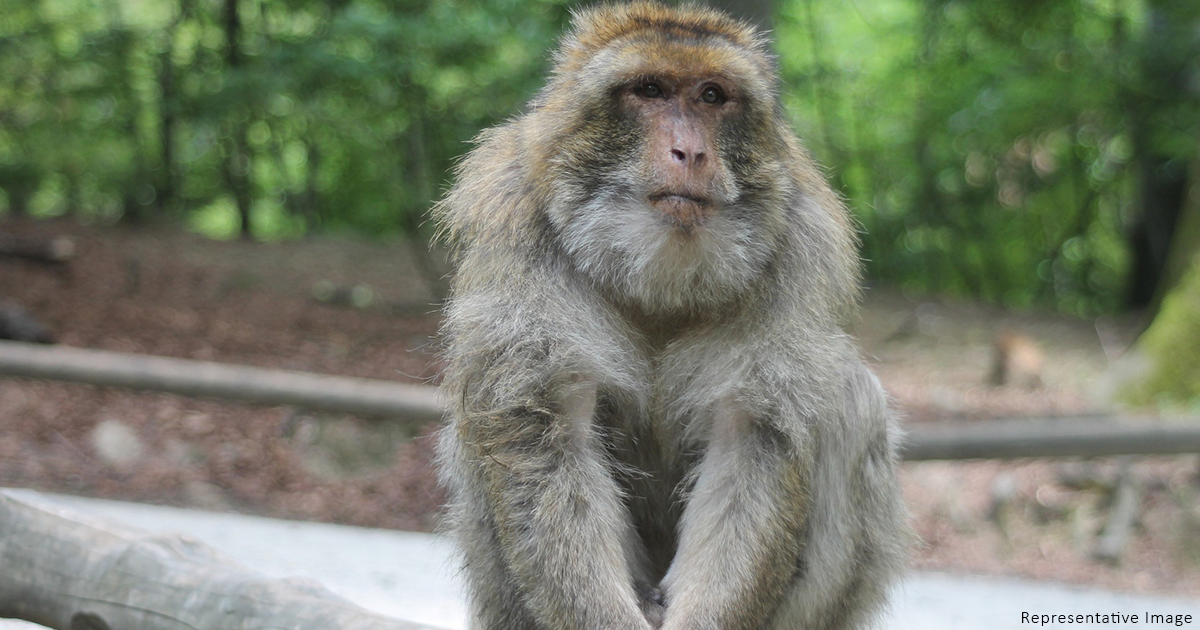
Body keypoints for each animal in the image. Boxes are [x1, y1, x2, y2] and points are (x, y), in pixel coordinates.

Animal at [432, 4, 902, 628]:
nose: (691, 153)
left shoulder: (798, 251)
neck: (657, 283)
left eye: (712, 96)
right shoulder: (520, 234)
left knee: (855, 402)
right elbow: (546, 431)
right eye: (650, 90)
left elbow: (752, 438)